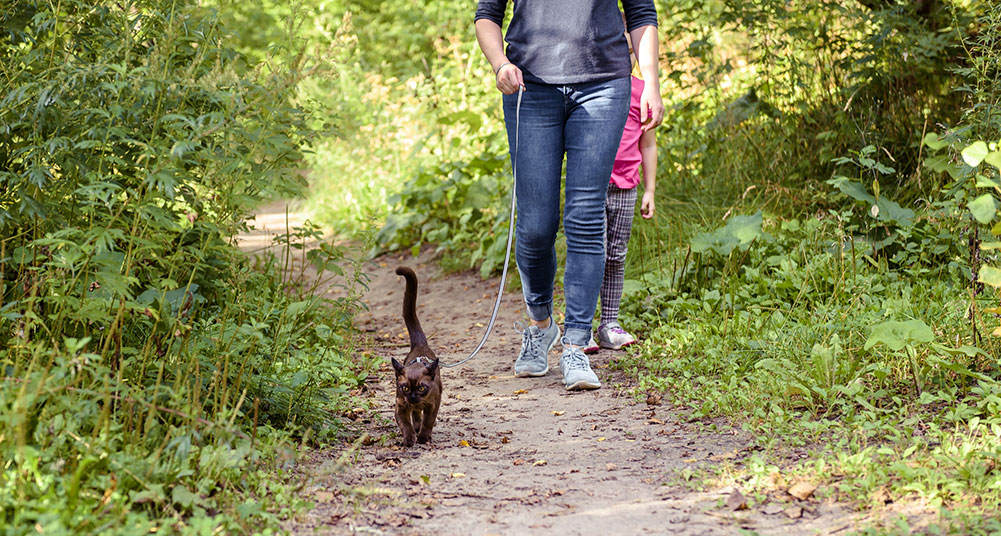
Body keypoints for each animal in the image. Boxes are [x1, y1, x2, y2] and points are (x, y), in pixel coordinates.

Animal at [390, 266, 442, 446]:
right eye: (405, 388)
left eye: (421, 388)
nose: (412, 397)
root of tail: (420, 345)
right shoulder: (400, 406)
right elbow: (405, 424)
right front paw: (409, 439)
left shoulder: (433, 405)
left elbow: (428, 422)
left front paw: (423, 438)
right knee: (416, 414)